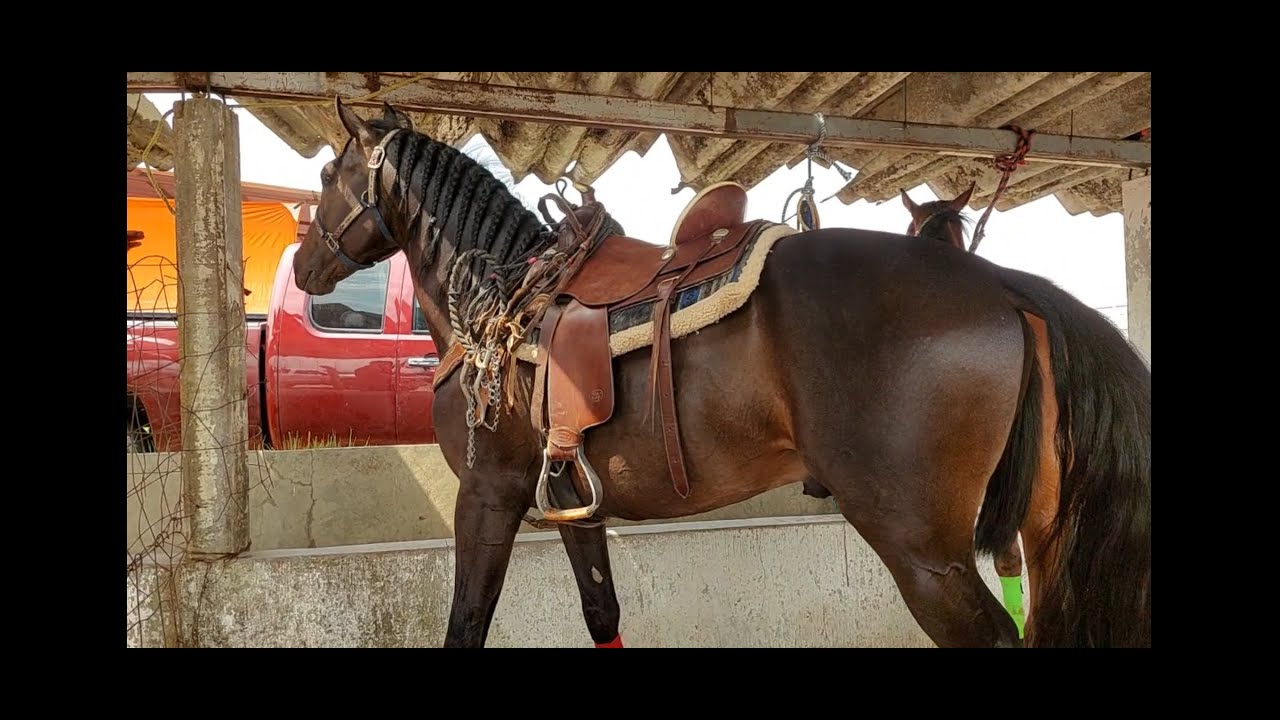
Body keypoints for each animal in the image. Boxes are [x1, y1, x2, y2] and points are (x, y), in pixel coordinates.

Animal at [293, 98, 1151, 648]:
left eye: (331, 175)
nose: (301, 265)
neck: (505, 298)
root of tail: (1001, 283)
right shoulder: (573, 503)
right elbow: (603, 615)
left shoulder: (487, 496)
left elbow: (465, 626)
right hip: (1043, 530)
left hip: (921, 548)